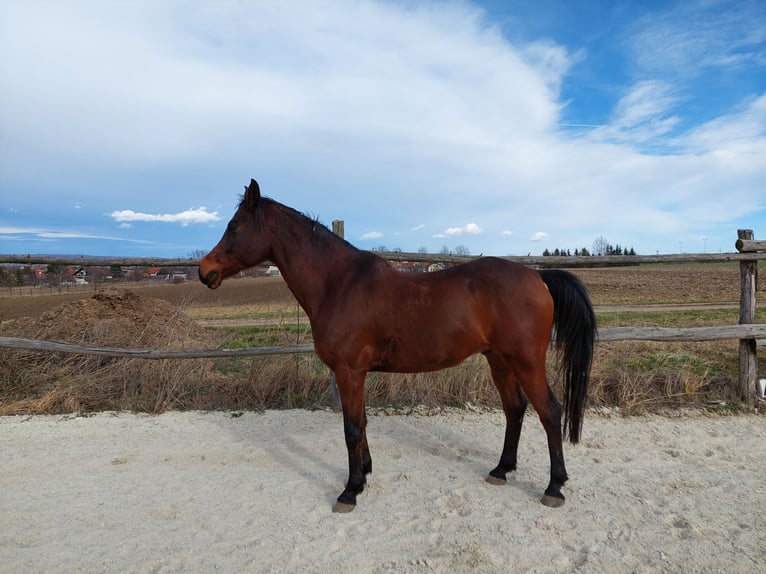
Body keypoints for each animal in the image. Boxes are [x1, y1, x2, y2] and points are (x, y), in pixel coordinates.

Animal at [201, 179, 596, 512]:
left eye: (234, 226)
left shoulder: (348, 372)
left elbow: (351, 429)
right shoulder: (355, 374)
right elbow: (361, 422)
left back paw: (554, 487)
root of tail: (537, 276)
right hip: (499, 360)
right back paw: (501, 469)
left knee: (550, 412)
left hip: (526, 361)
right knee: (515, 409)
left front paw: (350, 490)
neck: (339, 284)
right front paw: (365, 472)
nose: (205, 271)